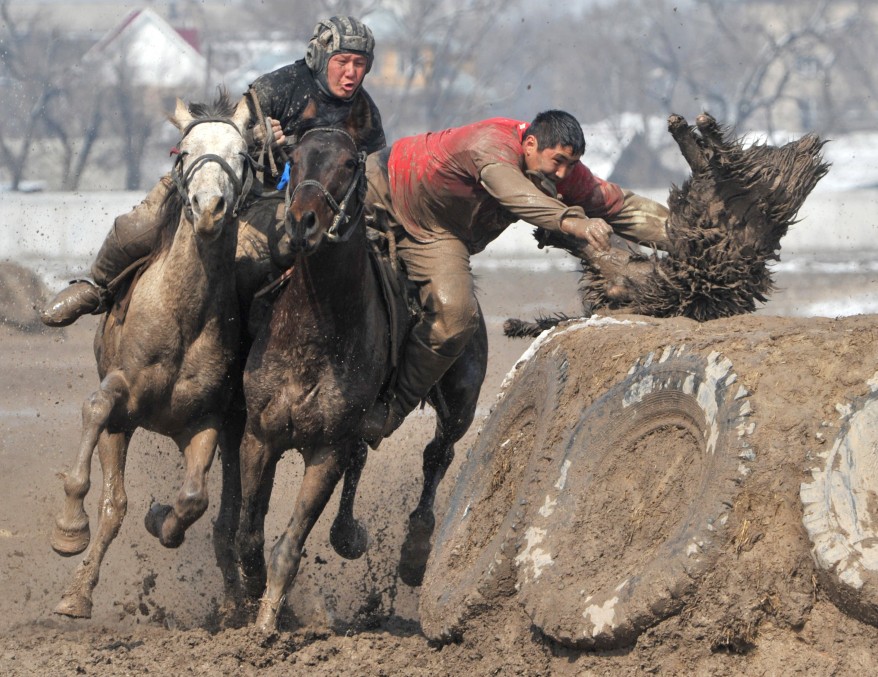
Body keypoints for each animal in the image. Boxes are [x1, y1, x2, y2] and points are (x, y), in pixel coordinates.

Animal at [50, 91, 251, 616]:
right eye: (184, 152)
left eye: (242, 154)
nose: (209, 208)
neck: (183, 316)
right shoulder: (122, 401)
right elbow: (97, 411)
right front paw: (69, 533)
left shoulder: (203, 420)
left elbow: (193, 498)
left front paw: (161, 518)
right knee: (114, 501)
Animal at [237, 103, 492, 632]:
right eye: (295, 157)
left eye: (349, 163)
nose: (303, 222)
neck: (313, 332)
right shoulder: (260, 435)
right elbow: (249, 532)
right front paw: (252, 594)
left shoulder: (326, 447)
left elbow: (289, 543)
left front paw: (268, 623)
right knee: (366, 460)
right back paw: (348, 533)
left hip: (459, 401)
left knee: (437, 455)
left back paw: (413, 551)